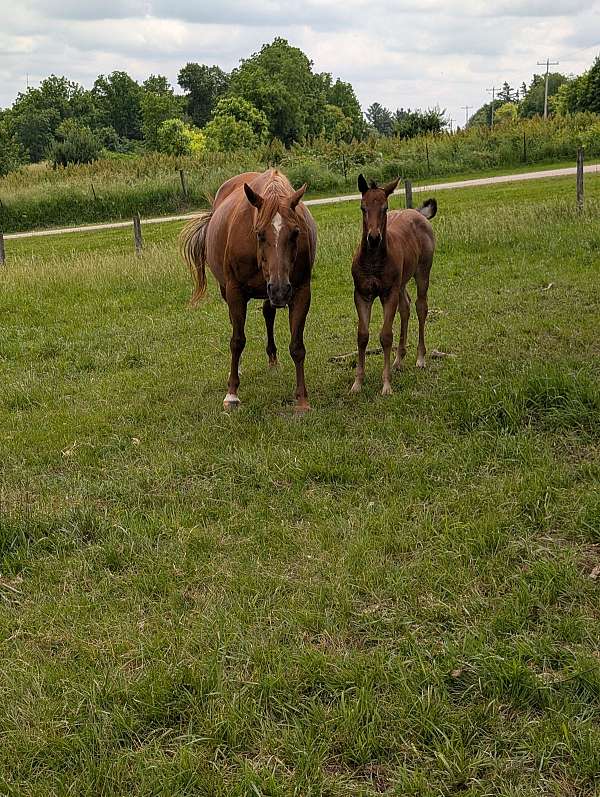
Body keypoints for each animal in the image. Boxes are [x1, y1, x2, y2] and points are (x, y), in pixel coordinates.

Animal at [180, 169, 317, 411]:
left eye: (295, 232)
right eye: (259, 233)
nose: (280, 290)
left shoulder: (301, 291)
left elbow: (297, 346)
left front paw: (302, 399)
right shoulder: (235, 292)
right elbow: (237, 341)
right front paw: (232, 394)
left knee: (268, 314)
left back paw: (273, 360)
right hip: (232, 291)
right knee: (237, 327)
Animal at [350, 174, 437, 396]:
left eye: (385, 207)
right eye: (362, 207)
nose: (373, 238)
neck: (373, 260)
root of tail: (418, 213)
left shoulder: (388, 293)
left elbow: (386, 335)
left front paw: (386, 385)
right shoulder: (362, 293)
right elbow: (362, 335)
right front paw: (357, 384)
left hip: (422, 272)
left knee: (420, 307)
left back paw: (420, 358)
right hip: (402, 282)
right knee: (405, 307)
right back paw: (399, 360)